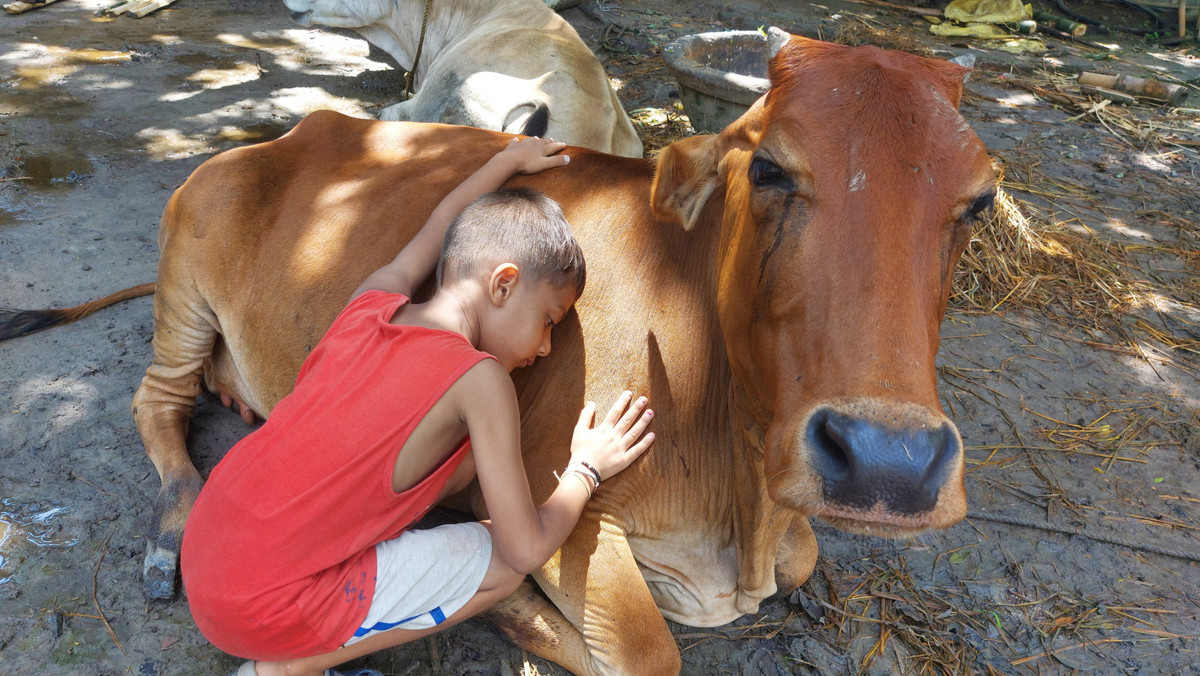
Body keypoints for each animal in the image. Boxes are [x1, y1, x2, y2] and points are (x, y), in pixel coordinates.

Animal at [2, 31, 993, 676]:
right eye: (772, 168)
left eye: (981, 200)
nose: (887, 461)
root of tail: (300, 130)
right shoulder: (554, 496)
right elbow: (642, 652)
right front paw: (514, 606)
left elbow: (805, 557)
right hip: (185, 283)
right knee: (158, 405)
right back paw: (169, 534)